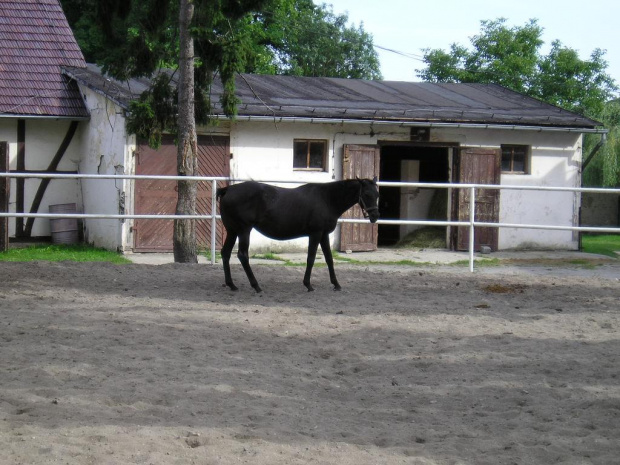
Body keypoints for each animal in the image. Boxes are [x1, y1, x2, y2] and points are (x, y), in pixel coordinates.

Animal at [218, 177, 382, 290]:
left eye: (377, 194)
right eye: (366, 194)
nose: (375, 216)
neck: (327, 199)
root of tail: (228, 190)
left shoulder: (324, 235)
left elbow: (329, 259)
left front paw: (336, 284)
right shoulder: (315, 234)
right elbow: (311, 258)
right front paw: (308, 284)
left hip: (232, 231)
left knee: (226, 253)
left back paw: (231, 285)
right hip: (244, 230)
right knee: (242, 255)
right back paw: (256, 285)